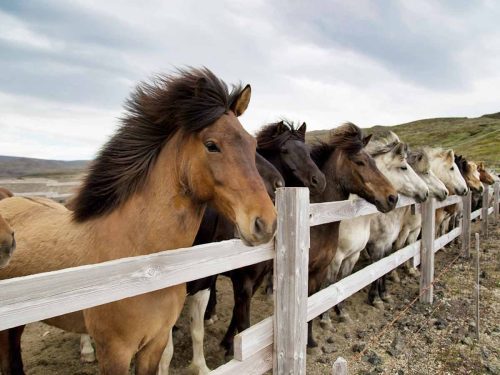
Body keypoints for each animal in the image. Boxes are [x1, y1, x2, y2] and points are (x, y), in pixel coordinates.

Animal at [0, 68, 278, 375]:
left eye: (253, 145)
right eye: (211, 145)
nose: (265, 222)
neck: (143, 268)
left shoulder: (154, 343)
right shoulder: (116, 353)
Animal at [306, 124, 396, 350]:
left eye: (374, 162)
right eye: (360, 162)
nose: (393, 197)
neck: (314, 221)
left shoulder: (320, 270)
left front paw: (310, 341)